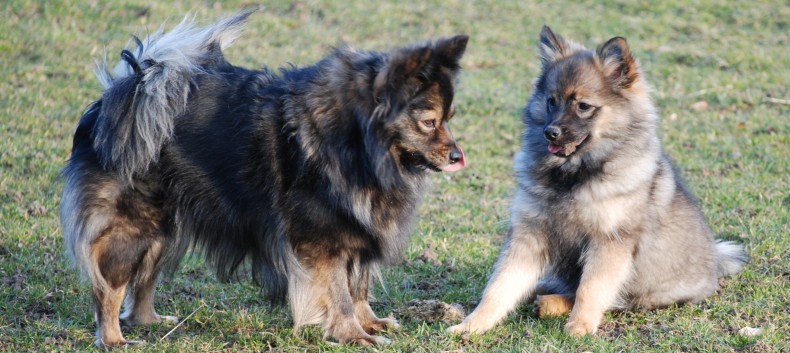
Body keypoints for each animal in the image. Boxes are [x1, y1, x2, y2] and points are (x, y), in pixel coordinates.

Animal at [63, 11, 470, 346]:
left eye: (449, 118)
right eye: (429, 122)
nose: (457, 156)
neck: (355, 141)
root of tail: (114, 99)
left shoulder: (355, 233)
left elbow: (359, 287)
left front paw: (369, 323)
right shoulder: (324, 238)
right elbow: (340, 293)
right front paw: (353, 335)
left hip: (165, 227)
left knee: (143, 279)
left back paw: (149, 321)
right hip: (135, 225)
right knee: (111, 287)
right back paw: (114, 339)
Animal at [452, 26, 748, 336]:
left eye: (583, 106)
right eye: (551, 101)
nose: (550, 132)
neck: (573, 175)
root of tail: (715, 260)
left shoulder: (608, 242)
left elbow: (590, 288)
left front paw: (579, 327)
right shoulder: (529, 234)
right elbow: (499, 287)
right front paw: (471, 325)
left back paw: (551, 304)